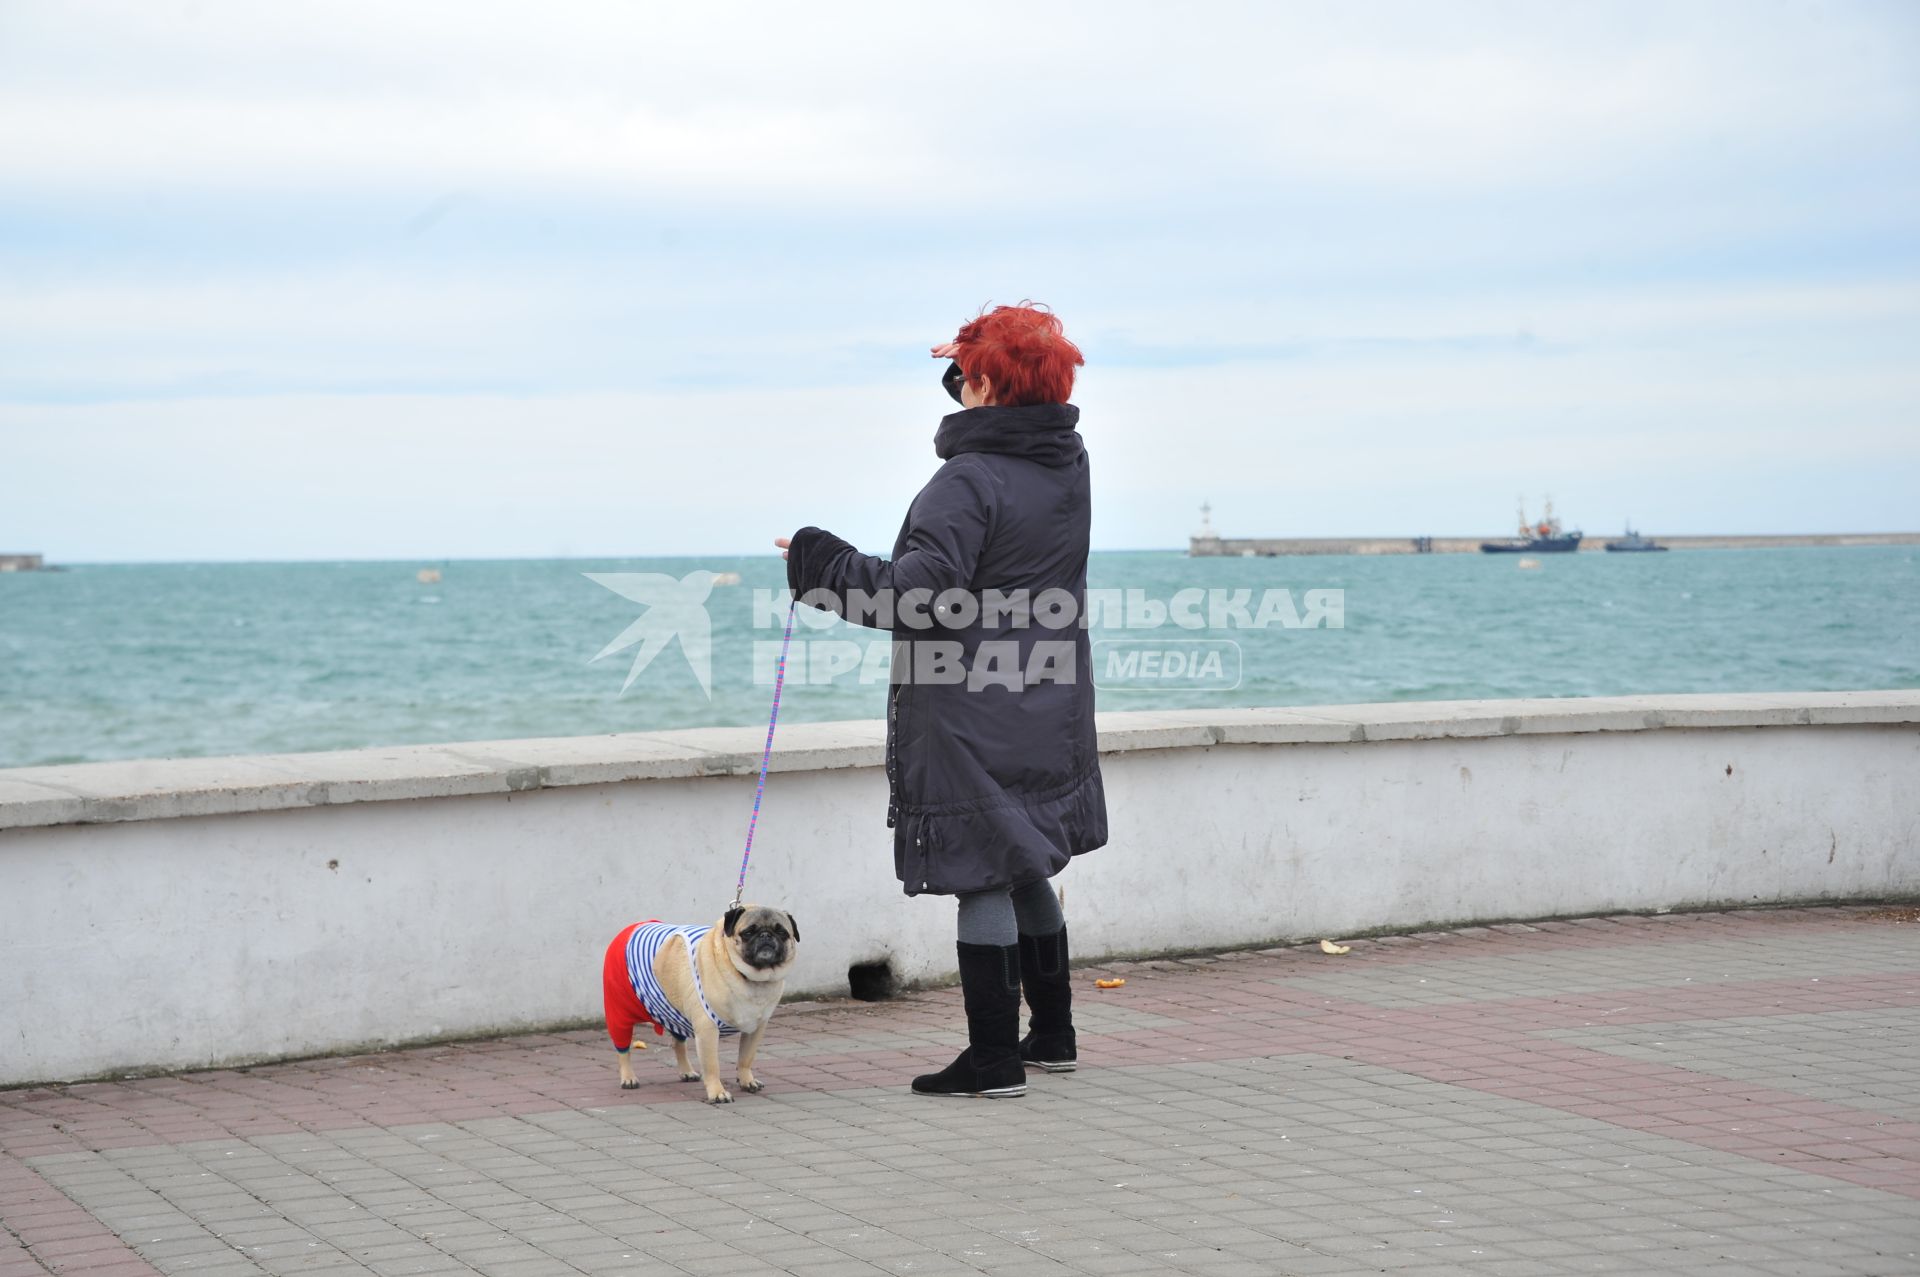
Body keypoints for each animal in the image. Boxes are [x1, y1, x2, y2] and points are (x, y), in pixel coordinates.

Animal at [606, 902, 802, 1098]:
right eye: (748, 932)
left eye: (782, 932)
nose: (765, 935)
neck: (751, 979)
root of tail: (630, 929)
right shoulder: (707, 1029)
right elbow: (712, 1066)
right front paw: (717, 1093)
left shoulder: (755, 1029)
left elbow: (746, 1058)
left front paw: (747, 1081)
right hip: (620, 1015)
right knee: (623, 1050)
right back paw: (628, 1078)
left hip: (674, 1013)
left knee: (678, 1044)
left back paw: (686, 1071)